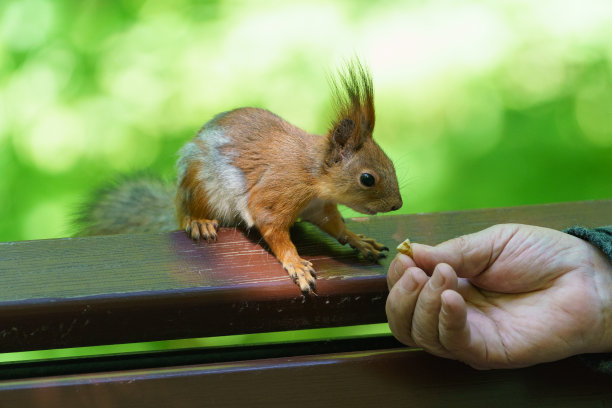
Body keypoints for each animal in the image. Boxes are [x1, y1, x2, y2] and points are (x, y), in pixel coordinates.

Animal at [79, 58, 404, 294]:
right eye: (367, 178)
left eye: (390, 162)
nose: (397, 205)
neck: (313, 176)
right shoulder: (278, 193)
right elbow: (272, 228)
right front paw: (296, 263)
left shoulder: (320, 207)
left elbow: (335, 226)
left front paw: (359, 240)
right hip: (199, 185)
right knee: (188, 214)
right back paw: (197, 221)